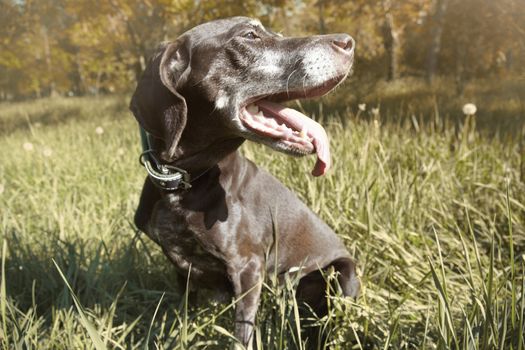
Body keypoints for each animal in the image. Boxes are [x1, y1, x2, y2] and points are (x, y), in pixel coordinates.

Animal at [130, 15, 358, 348]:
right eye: (250, 35)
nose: (348, 42)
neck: (184, 181)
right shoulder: (183, 272)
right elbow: (184, 319)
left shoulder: (248, 267)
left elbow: (242, 334)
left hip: (344, 272)